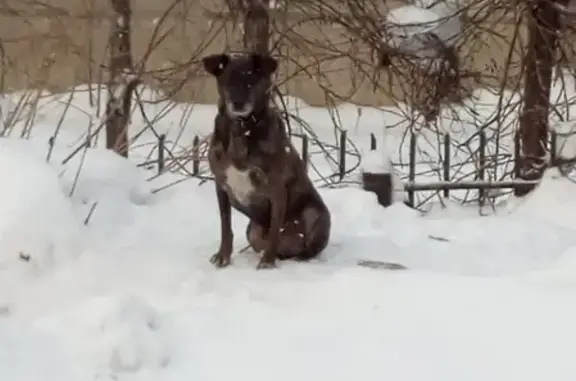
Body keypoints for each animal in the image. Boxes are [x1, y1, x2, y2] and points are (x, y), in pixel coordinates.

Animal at [201, 52, 330, 268]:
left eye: (250, 83)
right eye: (227, 81)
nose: (238, 103)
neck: (241, 128)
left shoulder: (276, 189)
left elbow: (275, 230)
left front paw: (267, 262)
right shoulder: (221, 186)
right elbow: (226, 227)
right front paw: (223, 256)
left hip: (315, 214)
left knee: (307, 246)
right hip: (252, 230)